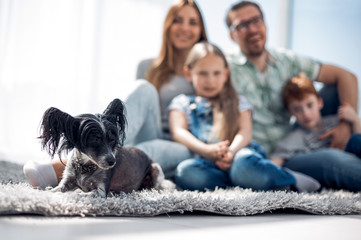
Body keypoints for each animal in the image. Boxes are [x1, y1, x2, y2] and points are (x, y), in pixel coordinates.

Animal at [39, 98, 174, 197]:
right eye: (95, 140)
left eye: (112, 140)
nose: (112, 162)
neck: (85, 166)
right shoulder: (67, 181)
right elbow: (56, 189)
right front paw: (43, 193)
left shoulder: (101, 190)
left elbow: (82, 194)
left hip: (155, 169)